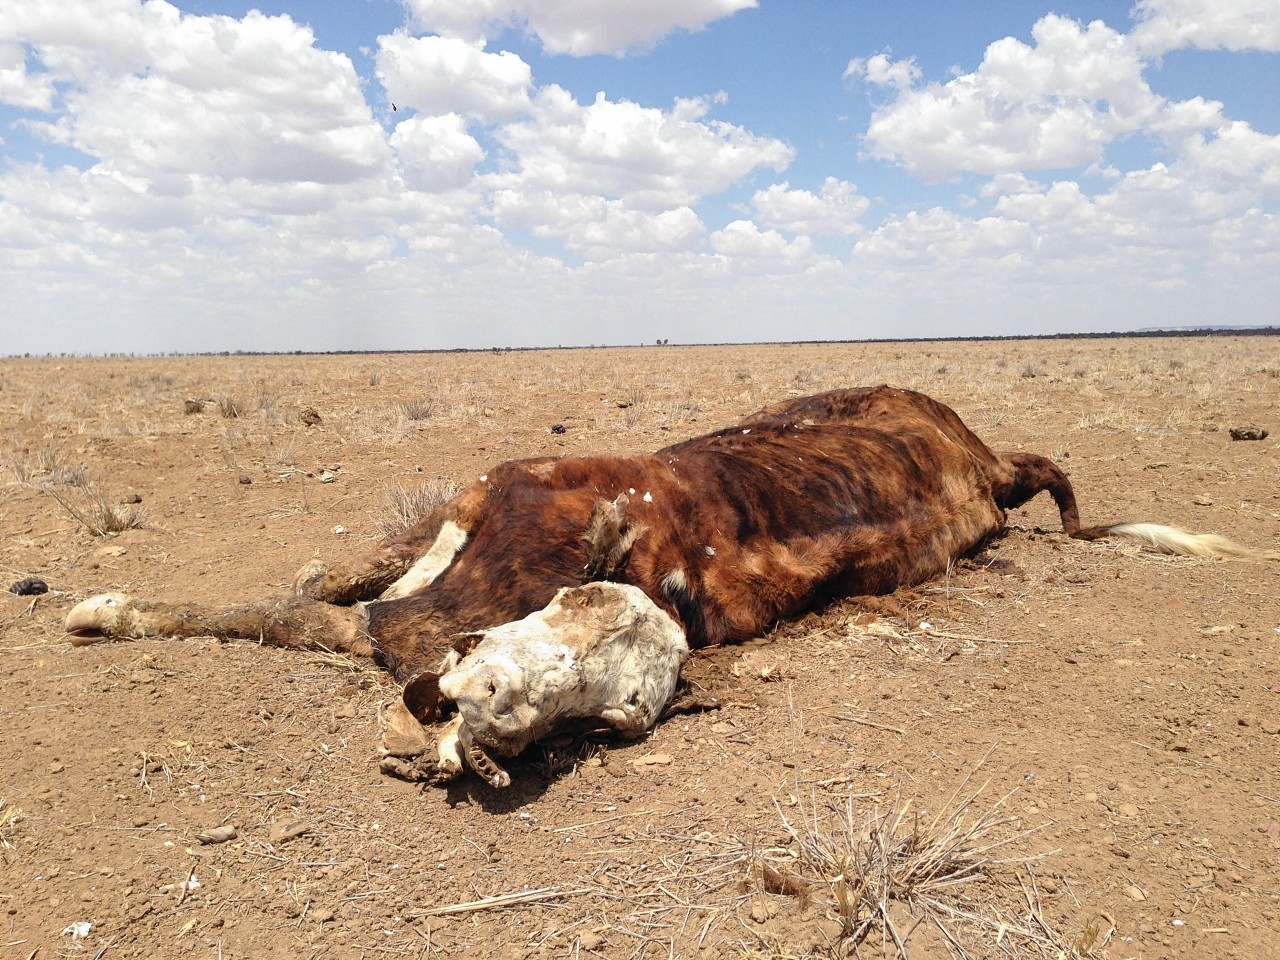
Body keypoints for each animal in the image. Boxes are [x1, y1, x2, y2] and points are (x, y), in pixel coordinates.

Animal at [62, 386, 1280, 788]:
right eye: (568, 618)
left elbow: (315, 611)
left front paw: (109, 607)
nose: (486, 716)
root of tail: (982, 458)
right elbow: (336, 576)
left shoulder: (438, 608)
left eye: (612, 722)